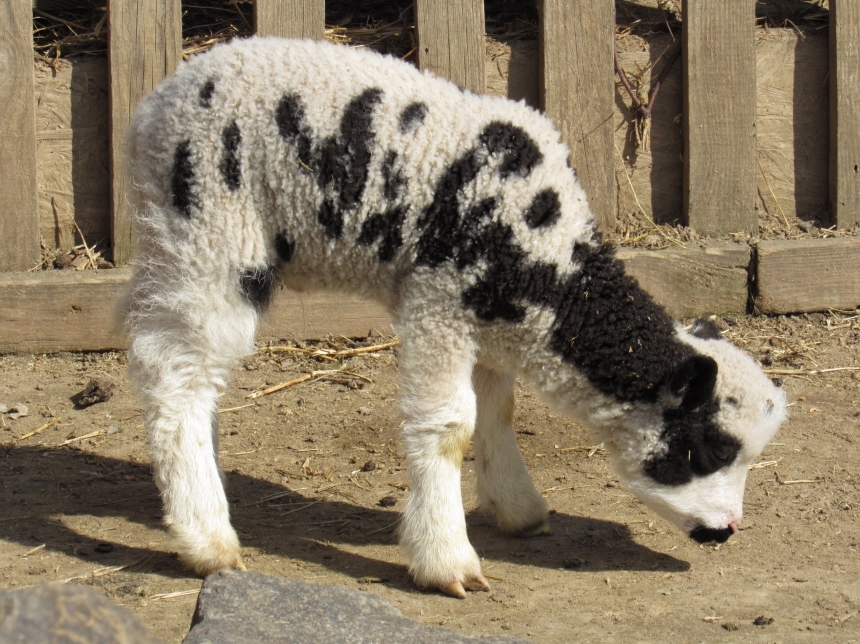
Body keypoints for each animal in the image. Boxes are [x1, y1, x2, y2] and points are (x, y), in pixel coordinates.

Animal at [121, 36, 788, 600]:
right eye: (709, 449)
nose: (726, 531)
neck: (554, 271)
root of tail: (155, 106)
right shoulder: (438, 303)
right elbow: (449, 427)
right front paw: (447, 561)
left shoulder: (492, 321)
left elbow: (498, 409)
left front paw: (518, 508)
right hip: (213, 232)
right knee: (175, 375)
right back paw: (206, 538)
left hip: (179, 241)